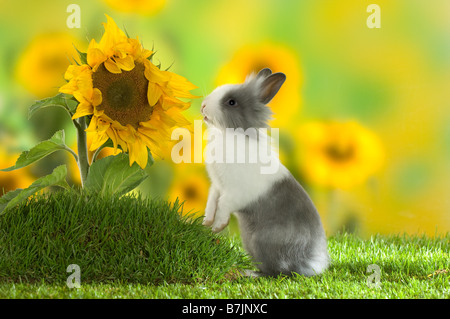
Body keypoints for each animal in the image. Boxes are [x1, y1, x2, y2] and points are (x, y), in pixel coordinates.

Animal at [202, 68, 328, 278]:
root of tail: (308, 263)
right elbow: (212, 203)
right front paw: (206, 223)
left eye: (231, 102)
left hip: (262, 241)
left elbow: (224, 206)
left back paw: (247, 273)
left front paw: (217, 227)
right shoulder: (217, 186)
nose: (203, 105)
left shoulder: (234, 193)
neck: (228, 135)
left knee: (276, 272)